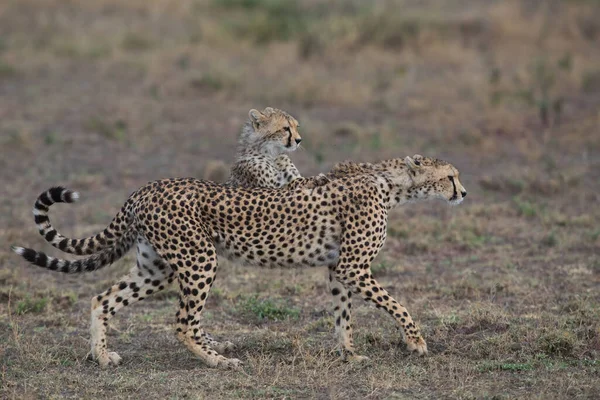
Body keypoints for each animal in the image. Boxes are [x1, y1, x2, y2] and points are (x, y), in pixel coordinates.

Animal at [11, 154, 466, 368]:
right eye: (450, 176)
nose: (463, 193)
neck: (390, 183)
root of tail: (145, 188)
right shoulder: (354, 267)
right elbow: (397, 304)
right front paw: (416, 341)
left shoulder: (339, 269)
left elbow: (343, 316)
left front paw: (348, 354)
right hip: (200, 259)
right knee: (182, 322)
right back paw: (217, 360)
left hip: (156, 268)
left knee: (102, 299)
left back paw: (103, 356)